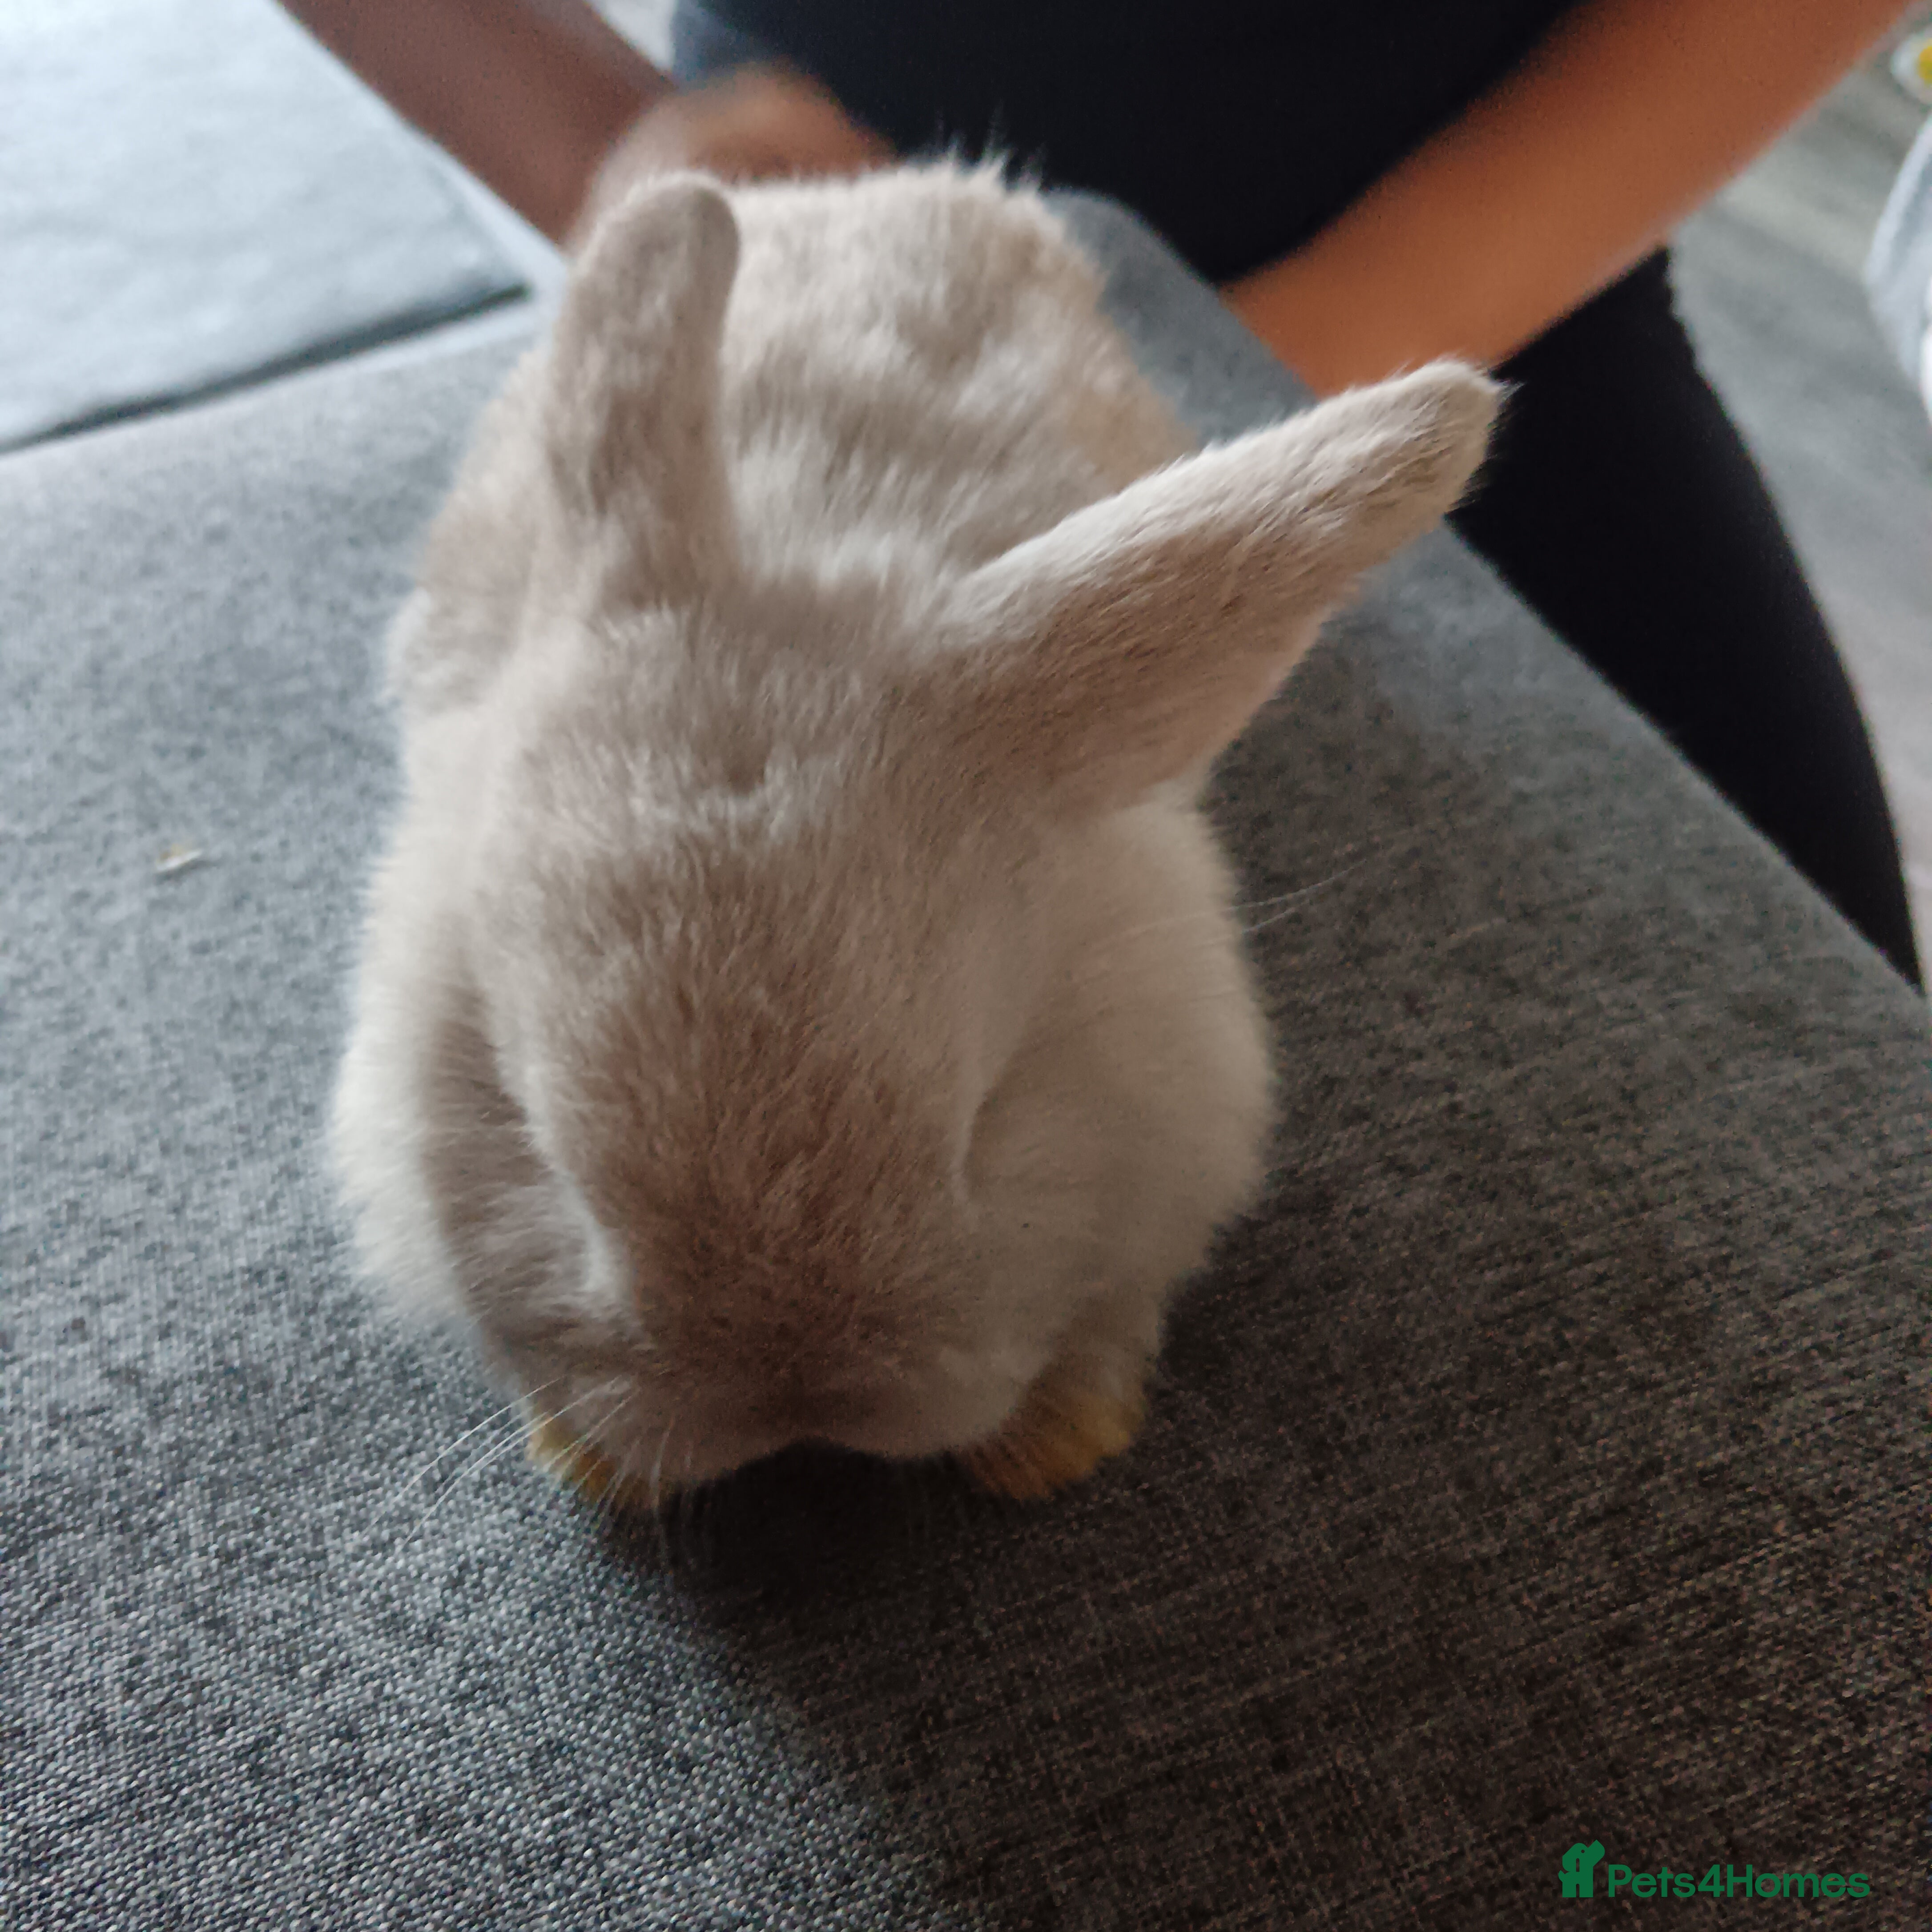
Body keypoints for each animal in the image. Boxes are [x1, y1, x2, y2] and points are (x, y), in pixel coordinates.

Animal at [331, 163, 1497, 1506]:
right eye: (530, 1137)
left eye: (987, 1114)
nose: (795, 1397)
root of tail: (897, 183)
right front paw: (584, 1456)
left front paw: (1059, 1445)